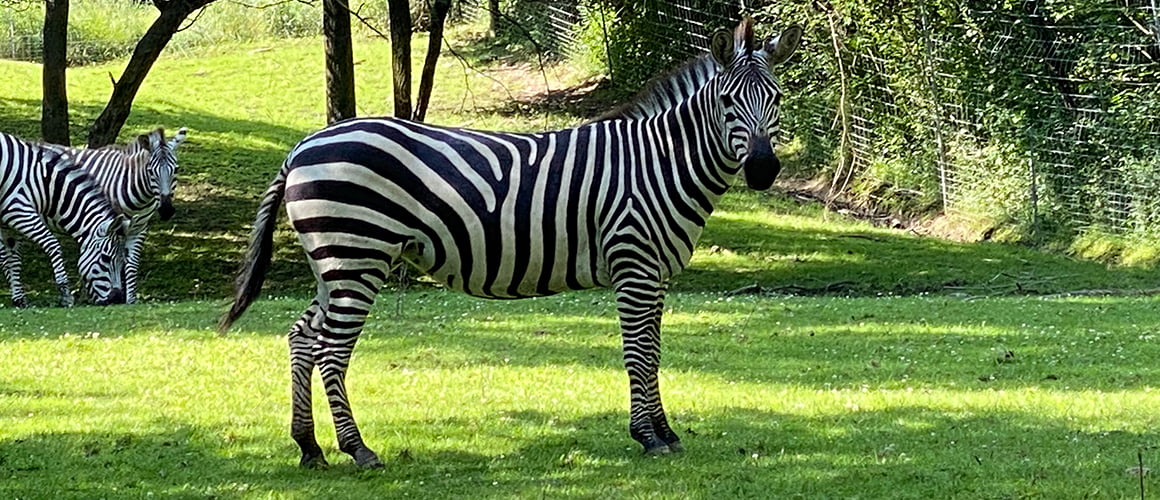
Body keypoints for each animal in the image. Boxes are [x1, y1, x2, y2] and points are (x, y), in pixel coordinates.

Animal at [0, 132, 130, 307]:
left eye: (122, 261)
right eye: (105, 258)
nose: (116, 299)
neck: (44, 184)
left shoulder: (6, 223)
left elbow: (12, 258)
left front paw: (19, 299)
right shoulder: (18, 209)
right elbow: (52, 244)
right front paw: (65, 294)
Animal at [49, 127, 188, 304]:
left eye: (176, 170)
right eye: (150, 171)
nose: (166, 210)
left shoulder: (139, 228)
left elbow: (131, 264)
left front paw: (130, 300)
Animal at [219, 18, 801, 468]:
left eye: (775, 100)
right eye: (727, 102)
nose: (763, 170)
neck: (660, 163)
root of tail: (302, 146)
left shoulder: (654, 274)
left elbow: (653, 352)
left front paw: (664, 431)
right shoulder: (633, 263)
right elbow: (638, 354)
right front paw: (649, 436)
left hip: (333, 261)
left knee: (302, 338)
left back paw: (309, 447)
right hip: (358, 255)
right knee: (332, 350)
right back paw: (357, 449)